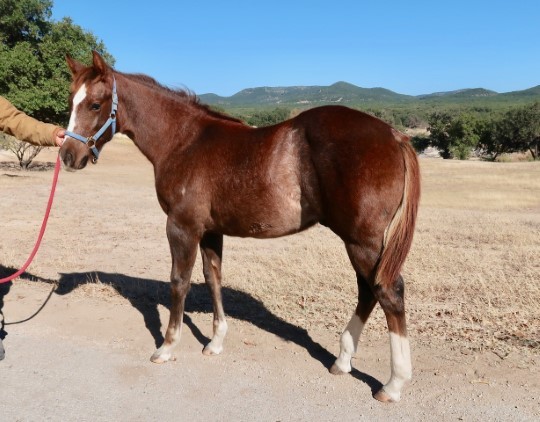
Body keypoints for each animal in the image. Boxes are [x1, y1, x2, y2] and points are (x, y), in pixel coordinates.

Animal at [60, 52, 422, 402]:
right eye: (70, 100)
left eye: (95, 104)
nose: (67, 155)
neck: (184, 142)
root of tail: (394, 135)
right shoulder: (210, 231)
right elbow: (213, 279)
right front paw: (215, 342)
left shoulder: (182, 227)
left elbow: (179, 282)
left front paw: (166, 346)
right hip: (360, 242)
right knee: (368, 291)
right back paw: (343, 361)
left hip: (362, 241)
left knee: (387, 292)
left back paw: (393, 384)